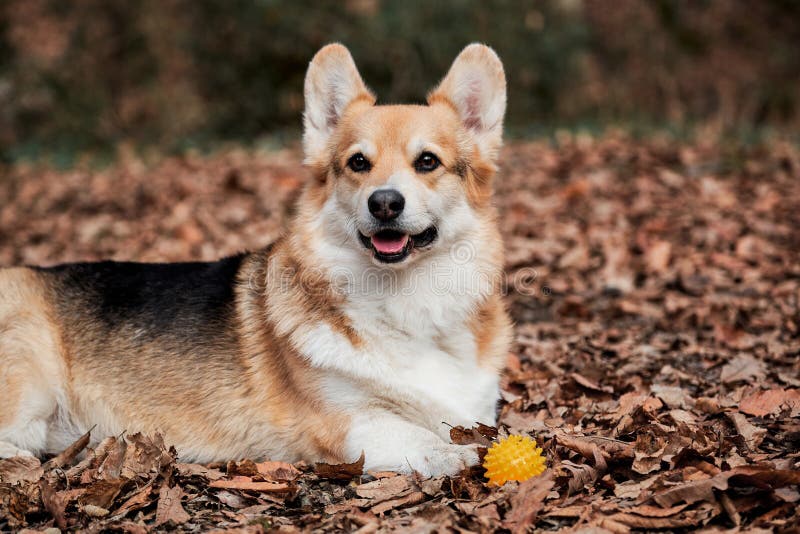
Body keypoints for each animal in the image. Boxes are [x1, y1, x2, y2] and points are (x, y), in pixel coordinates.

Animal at [0, 43, 512, 478]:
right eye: (358, 163)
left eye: (427, 162)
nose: (384, 203)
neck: (406, 297)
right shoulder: (346, 423)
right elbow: (419, 438)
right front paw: (457, 455)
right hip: (29, 363)